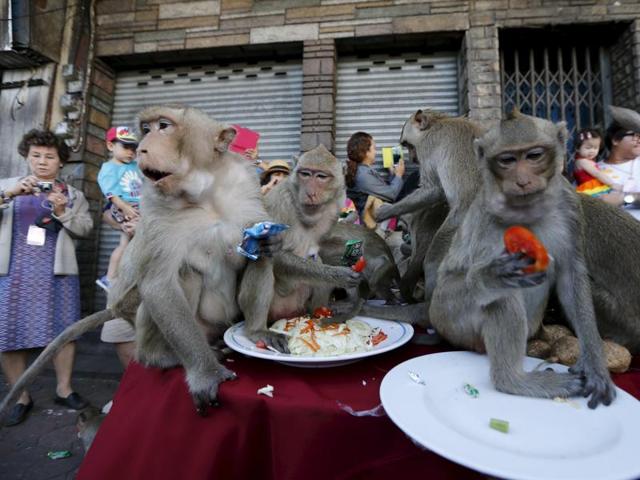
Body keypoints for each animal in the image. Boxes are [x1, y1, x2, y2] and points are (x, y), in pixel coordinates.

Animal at [0, 105, 285, 420]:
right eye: (146, 129)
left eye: (164, 126)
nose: (142, 148)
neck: (205, 194)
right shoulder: (156, 207)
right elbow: (159, 283)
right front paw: (205, 375)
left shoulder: (245, 188)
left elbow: (258, 256)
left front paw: (256, 330)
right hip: (157, 318)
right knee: (184, 276)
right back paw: (158, 357)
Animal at [262, 145, 362, 321]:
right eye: (305, 174)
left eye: (321, 177)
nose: (310, 193)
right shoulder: (279, 203)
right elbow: (277, 254)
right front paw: (338, 275)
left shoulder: (337, 202)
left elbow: (323, 243)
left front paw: (351, 257)